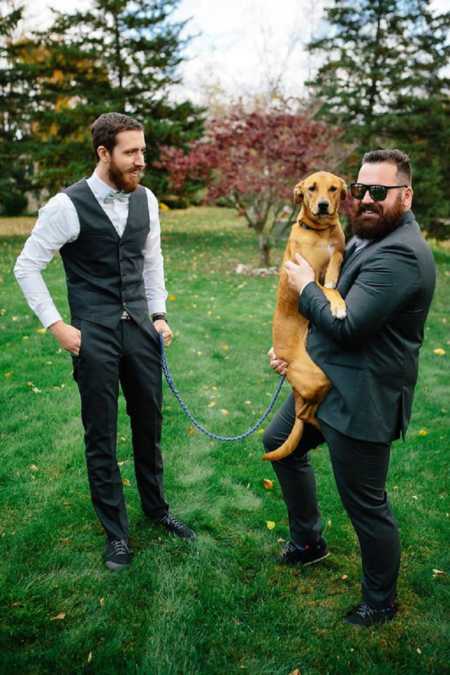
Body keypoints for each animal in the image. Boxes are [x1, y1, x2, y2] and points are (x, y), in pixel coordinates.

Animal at [262, 172, 346, 462]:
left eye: (333, 189)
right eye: (311, 188)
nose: (322, 205)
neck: (320, 231)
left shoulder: (338, 248)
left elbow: (337, 256)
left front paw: (333, 272)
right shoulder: (307, 275)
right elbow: (328, 289)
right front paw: (338, 304)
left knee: (304, 412)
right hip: (318, 377)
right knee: (304, 414)